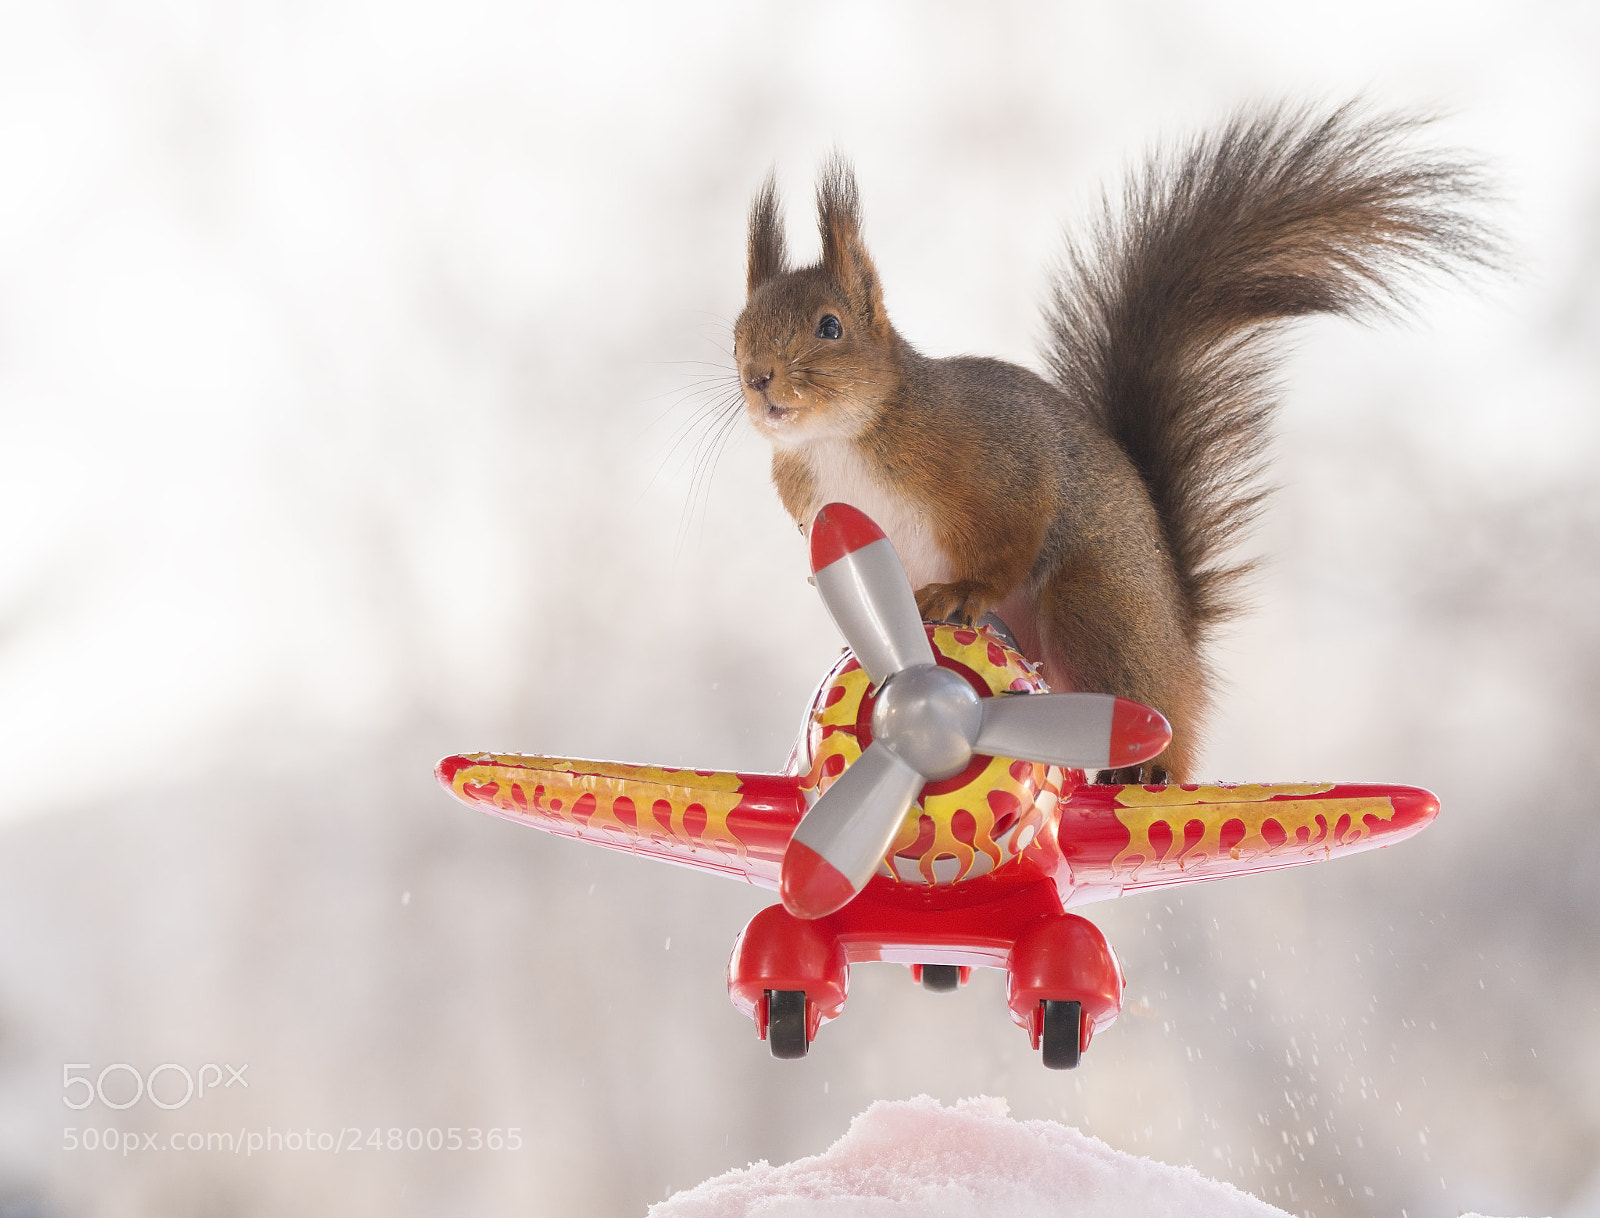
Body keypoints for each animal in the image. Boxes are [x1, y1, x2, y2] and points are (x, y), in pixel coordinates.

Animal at [731, 104, 1496, 782]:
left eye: (830, 327)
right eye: (737, 331)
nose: (757, 378)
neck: (840, 439)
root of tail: (1182, 642)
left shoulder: (1001, 460)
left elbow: (1012, 536)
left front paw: (964, 590)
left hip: (1095, 609)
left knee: (1159, 718)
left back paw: (1150, 768)